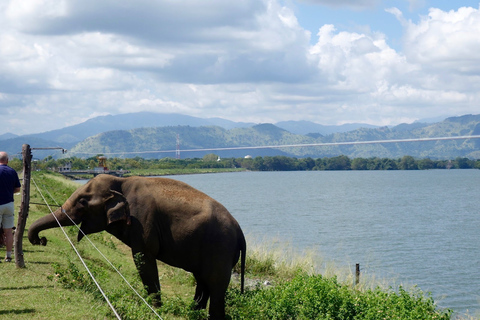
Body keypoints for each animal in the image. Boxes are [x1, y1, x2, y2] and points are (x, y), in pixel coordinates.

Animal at [29, 174, 248, 318]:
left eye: (83, 202)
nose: (41, 240)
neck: (121, 181)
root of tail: (240, 231)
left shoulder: (142, 221)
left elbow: (143, 258)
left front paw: (155, 308)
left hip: (220, 248)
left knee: (215, 283)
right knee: (202, 280)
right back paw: (192, 312)